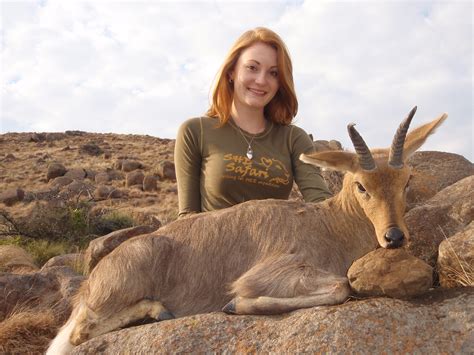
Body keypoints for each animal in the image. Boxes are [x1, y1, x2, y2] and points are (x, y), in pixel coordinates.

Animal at [46, 106, 446, 355]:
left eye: (407, 180)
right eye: (361, 185)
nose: (394, 237)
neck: (330, 223)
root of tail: (91, 283)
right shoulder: (272, 272)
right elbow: (340, 287)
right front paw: (235, 304)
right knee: (80, 333)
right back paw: (157, 311)